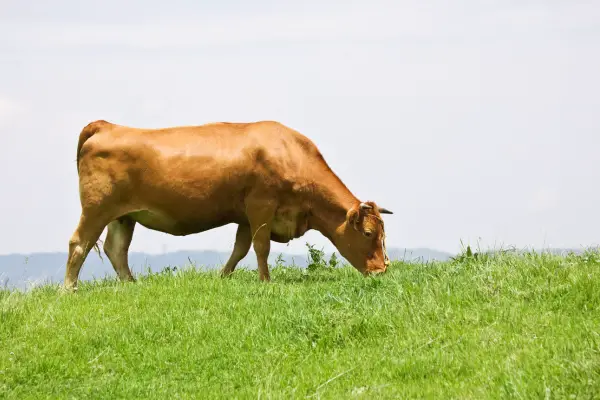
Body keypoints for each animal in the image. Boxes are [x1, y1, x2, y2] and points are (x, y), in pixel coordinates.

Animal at [64, 119, 394, 290]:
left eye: (382, 235)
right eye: (367, 233)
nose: (381, 271)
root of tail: (107, 126)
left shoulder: (246, 217)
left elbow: (240, 249)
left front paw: (223, 277)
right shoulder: (261, 205)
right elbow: (261, 246)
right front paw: (265, 282)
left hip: (124, 216)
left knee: (115, 249)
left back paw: (132, 285)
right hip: (97, 208)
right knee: (80, 243)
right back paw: (69, 288)